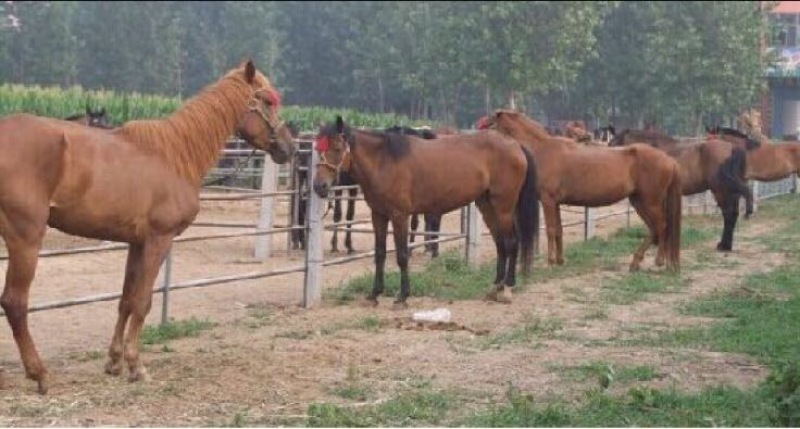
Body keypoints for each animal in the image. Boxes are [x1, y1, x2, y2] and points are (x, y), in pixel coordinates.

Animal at [0, 59, 295, 394]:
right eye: (268, 101)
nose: (289, 148)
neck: (176, 154)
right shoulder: (159, 240)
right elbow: (143, 302)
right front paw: (135, 365)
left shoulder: (136, 243)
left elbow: (126, 299)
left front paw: (114, 361)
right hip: (26, 239)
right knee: (15, 303)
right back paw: (39, 373)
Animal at [312, 115, 540, 306]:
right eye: (317, 148)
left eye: (337, 147)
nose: (319, 186)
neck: (385, 161)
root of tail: (516, 145)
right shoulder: (378, 215)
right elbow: (380, 253)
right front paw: (374, 294)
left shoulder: (400, 216)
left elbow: (402, 255)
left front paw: (402, 296)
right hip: (487, 206)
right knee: (500, 243)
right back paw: (495, 287)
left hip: (504, 207)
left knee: (511, 243)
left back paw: (507, 288)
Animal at [478, 110, 682, 272]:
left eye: (489, 124)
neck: (542, 150)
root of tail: (669, 160)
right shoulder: (556, 203)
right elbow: (559, 230)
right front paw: (560, 260)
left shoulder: (548, 200)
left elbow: (550, 230)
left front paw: (550, 262)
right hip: (639, 201)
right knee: (655, 228)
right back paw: (640, 262)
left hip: (650, 202)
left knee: (661, 227)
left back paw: (658, 261)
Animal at [608, 127, 753, 251]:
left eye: (613, 144)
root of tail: (733, 148)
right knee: (733, 213)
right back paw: (726, 244)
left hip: (720, 190)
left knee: (729, 213)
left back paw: (724, 245)